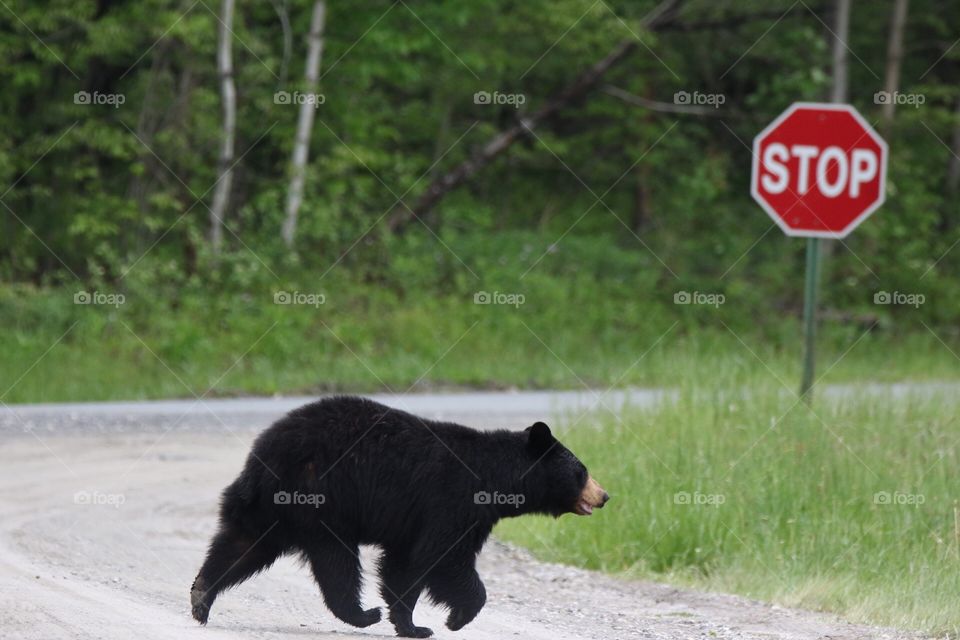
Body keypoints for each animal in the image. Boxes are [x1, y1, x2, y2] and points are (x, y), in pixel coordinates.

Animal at [189, 396, 608, 636]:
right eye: (582, 472)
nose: (605, 496)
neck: (493, 477)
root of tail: (262, 456)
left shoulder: (420, 521)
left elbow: (405, 565)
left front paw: (411, 624)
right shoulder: (452, 503)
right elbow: (442, 557)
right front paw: (453, 619)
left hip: (270, 509)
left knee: (242, 544)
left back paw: (201, 596)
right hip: (321, 499)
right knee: (336, 562)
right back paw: (362, 613)